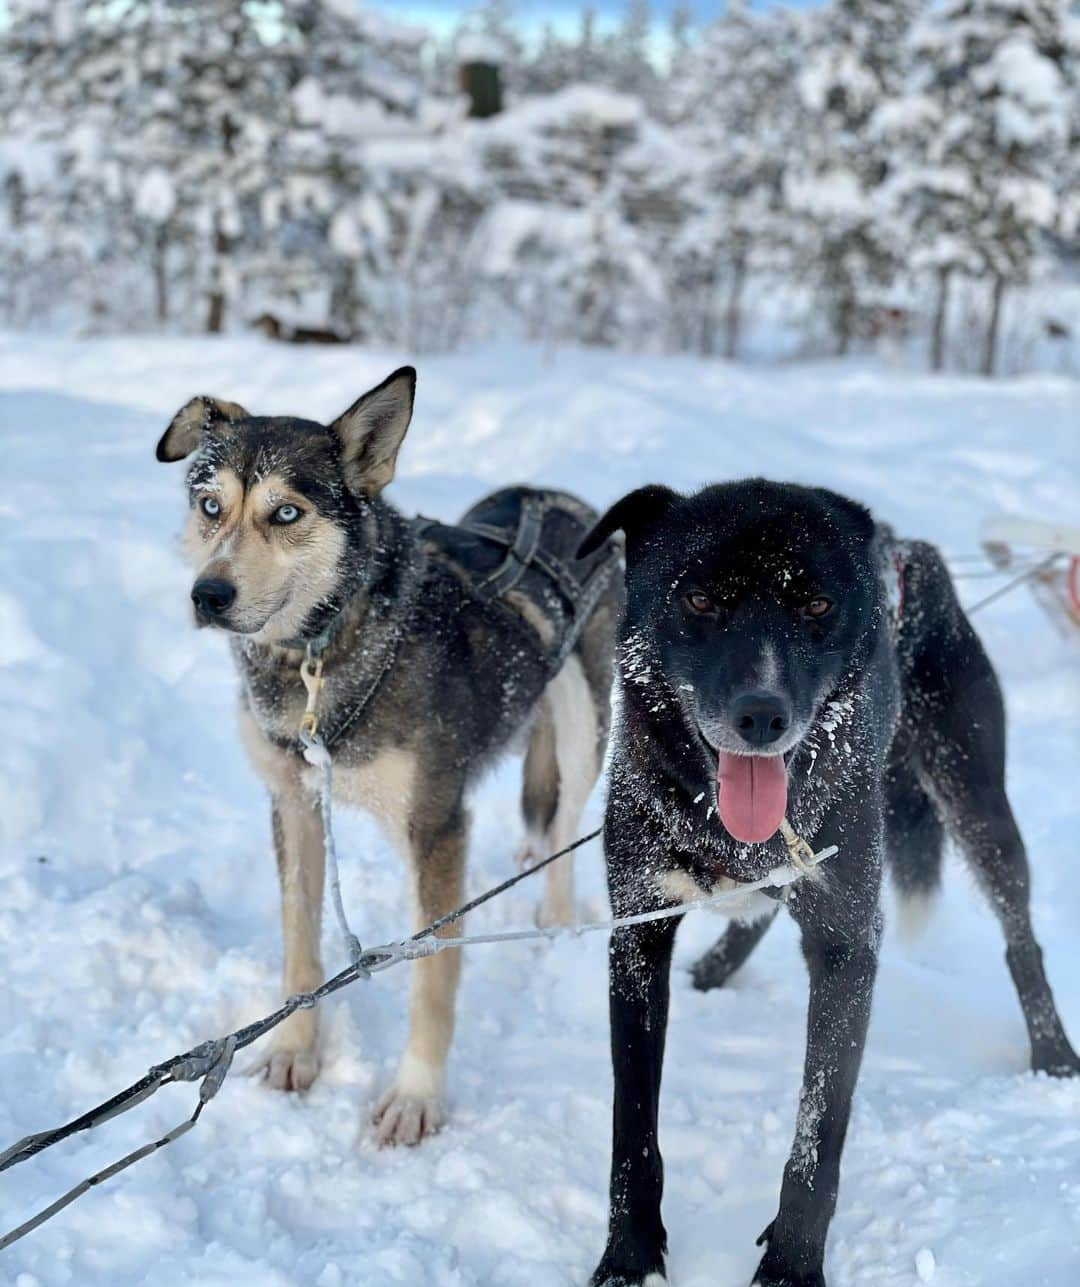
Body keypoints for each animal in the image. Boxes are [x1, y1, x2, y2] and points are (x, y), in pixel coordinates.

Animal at [579, 481, 1076, 1287]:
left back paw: (1054, 1054)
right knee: (760, 911)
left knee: (1021, 940)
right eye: (700, 598)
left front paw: (791, 1263)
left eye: (815, 605)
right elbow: (634, 1123)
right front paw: (628, 1255)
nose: (761, 713)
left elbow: (819, 1134)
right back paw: (714, 971)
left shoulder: (848, 946)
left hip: (978, 805)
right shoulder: (637, 935)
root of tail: (909, 550)